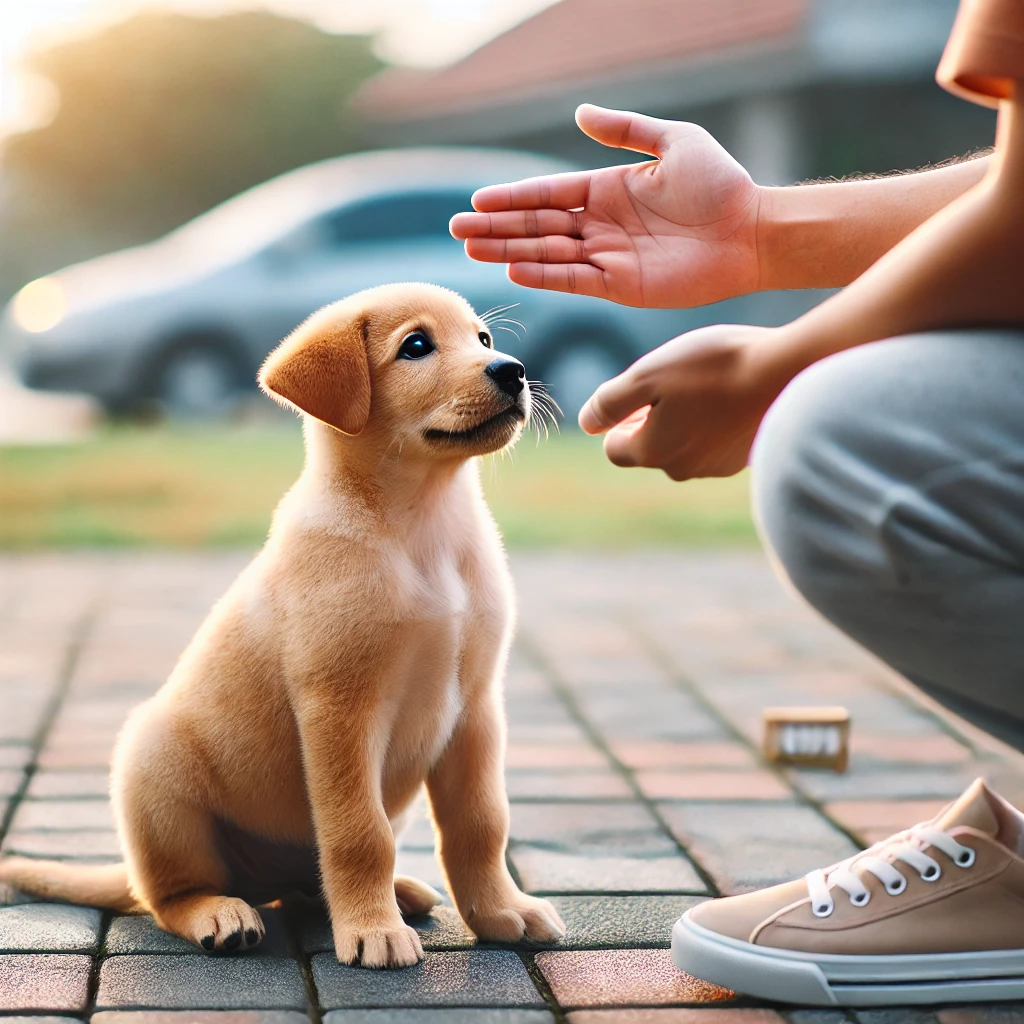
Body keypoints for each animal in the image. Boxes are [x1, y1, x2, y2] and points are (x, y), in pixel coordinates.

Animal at [0, 282, 561, 966]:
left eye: (482, 339)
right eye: (416, 345)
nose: (513, 370)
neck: (421, 527)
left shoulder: (476, 706)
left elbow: (480, 824)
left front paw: (502, 912)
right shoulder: (340, 708)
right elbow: (359, 833)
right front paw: (372, 931)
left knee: (308, 883)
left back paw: (397, 892)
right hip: (151, 770)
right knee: (170, 895)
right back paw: (221, 913)